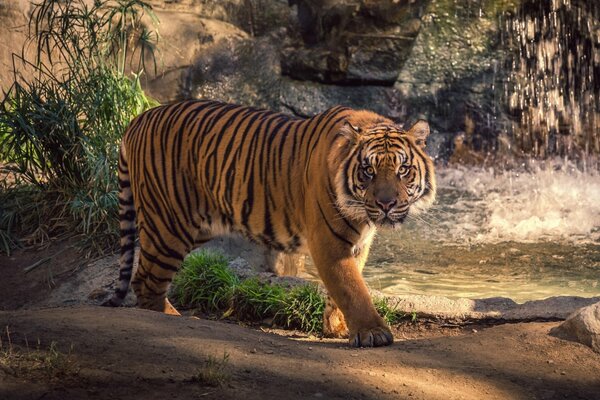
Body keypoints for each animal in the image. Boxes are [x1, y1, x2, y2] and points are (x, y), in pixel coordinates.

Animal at [104, 99, 436, 346]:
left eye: (403, 169)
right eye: (368, 170)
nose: (386, 204)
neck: (361, 213)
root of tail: (139, 118)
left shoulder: (359, 243)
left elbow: (345, 285)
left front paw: (337, 327)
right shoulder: (329, 241)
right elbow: (352, 287)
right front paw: (372, 332)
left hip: (196, 224)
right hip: (168, 224)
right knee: (146, 280)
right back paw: (171, 318)